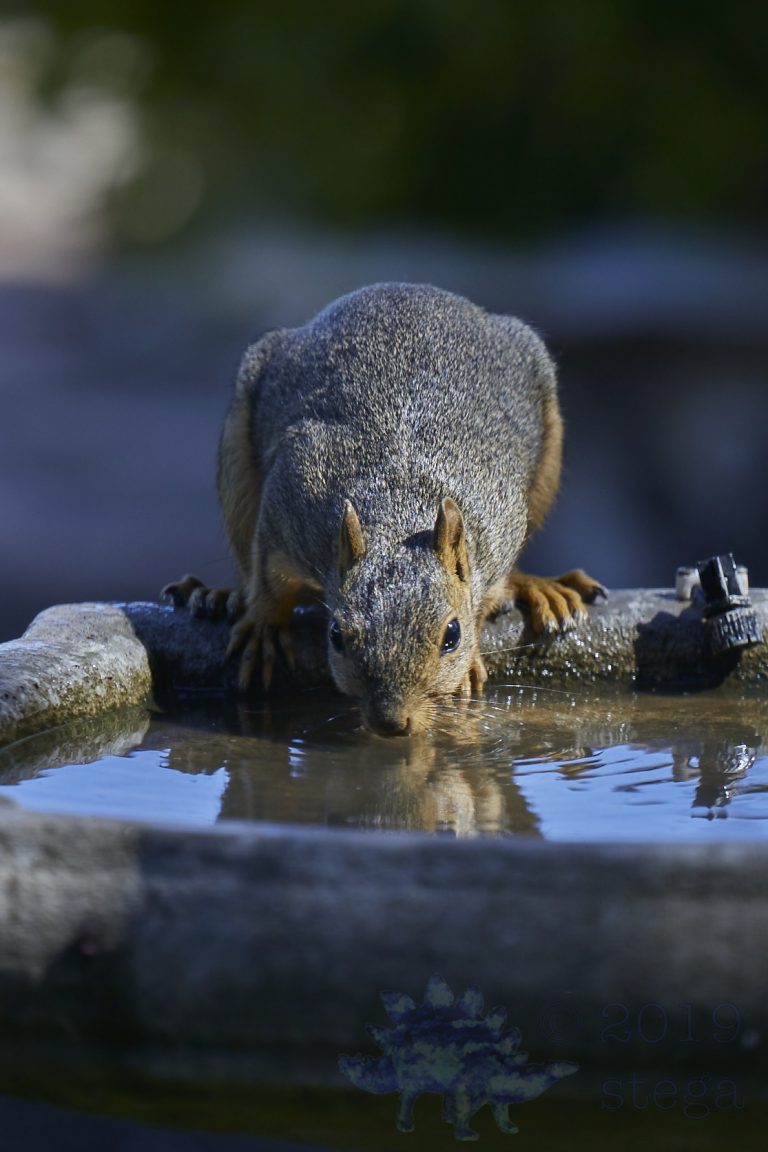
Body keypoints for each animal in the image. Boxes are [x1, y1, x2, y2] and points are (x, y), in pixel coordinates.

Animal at [164, 283, 605, 736]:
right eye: (336, 635)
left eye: (453, 635)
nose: (392, 722)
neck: (399, 512)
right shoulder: (289, 504)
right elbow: (269, 577)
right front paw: (265, 627)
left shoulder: (499, 523)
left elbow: (485, 595)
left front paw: (468, 664)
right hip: (238, 453)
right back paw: (218, 596)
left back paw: (538, 587)